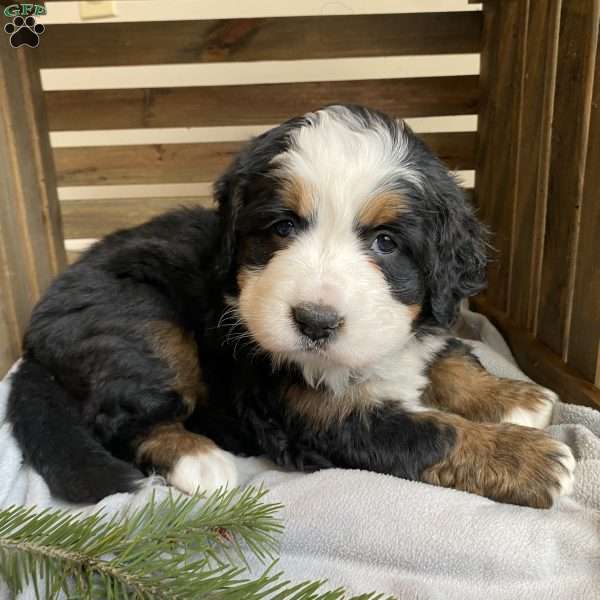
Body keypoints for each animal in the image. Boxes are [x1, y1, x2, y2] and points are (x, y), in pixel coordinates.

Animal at [7, 104, 576, 506]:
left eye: (386, 243)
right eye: (282, 228)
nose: (314, 323)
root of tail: (36, 333)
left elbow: (449, 356)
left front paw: (513, 396)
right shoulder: (318, 416)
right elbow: (428, 432)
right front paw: (527, 459)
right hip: (143, 322)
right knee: (122, 419)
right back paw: (199, 459)